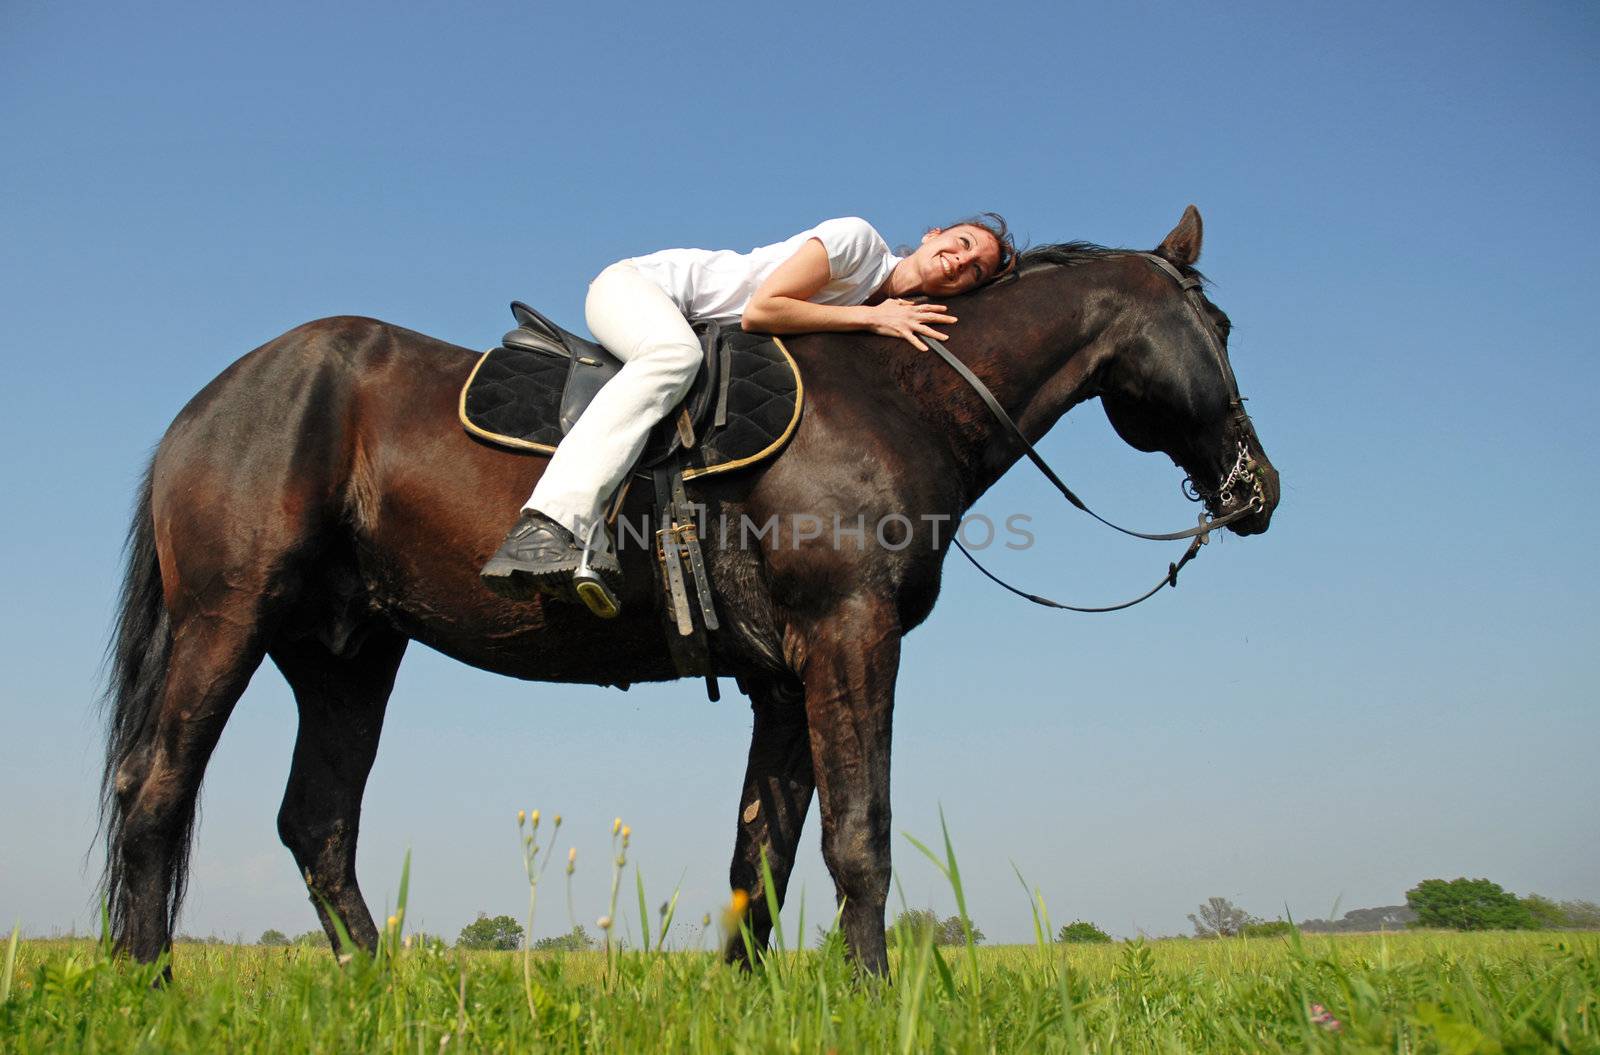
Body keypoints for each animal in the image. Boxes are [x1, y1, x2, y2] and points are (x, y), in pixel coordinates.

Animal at [100, 204, 1273, 973]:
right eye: (1217, 331)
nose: (1255, 489)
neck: (896, 393)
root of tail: (213, 400)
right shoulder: (850, 636)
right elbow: (859, 833)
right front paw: (870, 994)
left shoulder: (785, 678)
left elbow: (765, 852)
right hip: (227, 622)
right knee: (156, 790)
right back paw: (148, 983)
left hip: (345, 656)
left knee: (317, 824)